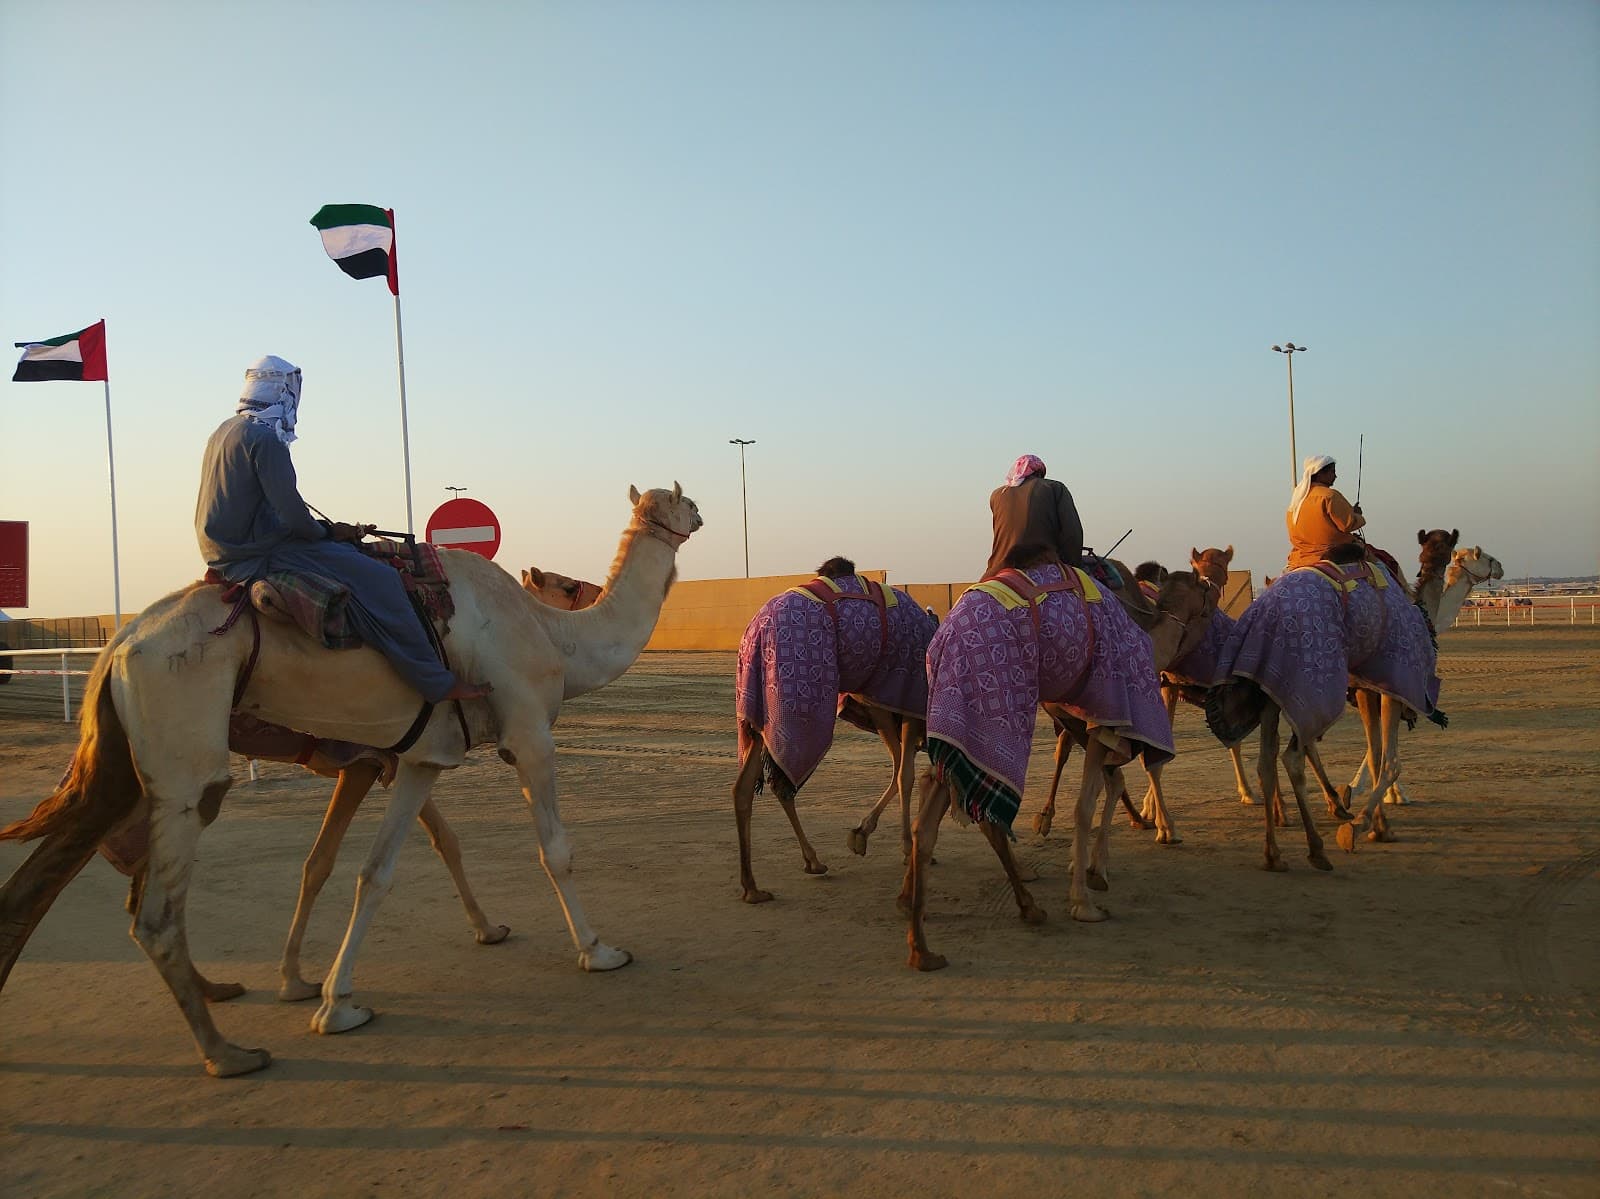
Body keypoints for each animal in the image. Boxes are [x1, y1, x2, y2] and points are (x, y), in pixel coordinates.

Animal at [0, 484, 701, 1077]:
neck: (554, 637)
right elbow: (554, 850)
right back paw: (227, 1052)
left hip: (129, 761)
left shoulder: (419, 758)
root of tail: (118, 645)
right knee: (154, 912)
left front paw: (334, 1002)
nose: (697, 514)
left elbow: (372, 871)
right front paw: (599, 950)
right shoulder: (527, 733)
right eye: (566, 583)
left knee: (62, 871)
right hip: (181, 754)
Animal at [732, 560, 938, 903]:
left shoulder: (877, 702)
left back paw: (755, 886)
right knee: (782, 781)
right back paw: (806, 863)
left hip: (759, 714)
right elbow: (904, 773)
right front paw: (905, 848)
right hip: (799, 706)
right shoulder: (902, 700)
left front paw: (862, 833)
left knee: (744, 787)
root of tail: (753, 633)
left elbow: (898, 765)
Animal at [900, 549, 1178, 971]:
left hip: (952, 718)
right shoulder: (1107, 716)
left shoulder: (1090, 724)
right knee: (979, 805)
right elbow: (1087, 803)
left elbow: (1106, 786)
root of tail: (941, 635)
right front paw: (1085, 899)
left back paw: (922, 943)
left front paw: (1094, 868)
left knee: (933, 802)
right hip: (995, 702)